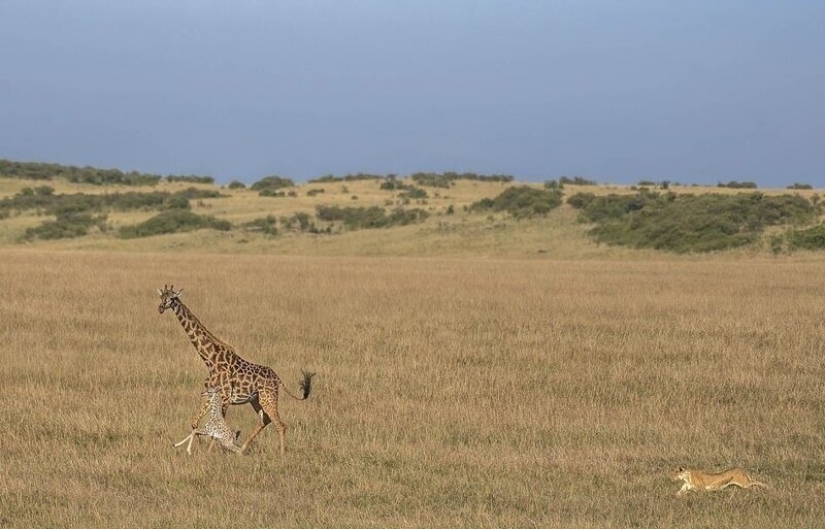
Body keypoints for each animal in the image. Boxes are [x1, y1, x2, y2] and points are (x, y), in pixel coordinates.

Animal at [159, 284, 316, 454]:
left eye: (172, 298)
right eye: (161, 297)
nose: (160, 308)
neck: (210, 360)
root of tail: (277, 378)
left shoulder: (225, 397)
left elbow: (218, 424)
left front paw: (209, 451)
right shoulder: (208, 395)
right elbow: (194, 422)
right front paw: (199, 446)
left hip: (269, 398)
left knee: (280, 425)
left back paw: (280, 454)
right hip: (256, 400)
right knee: (264, 420)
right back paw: (242, 449)